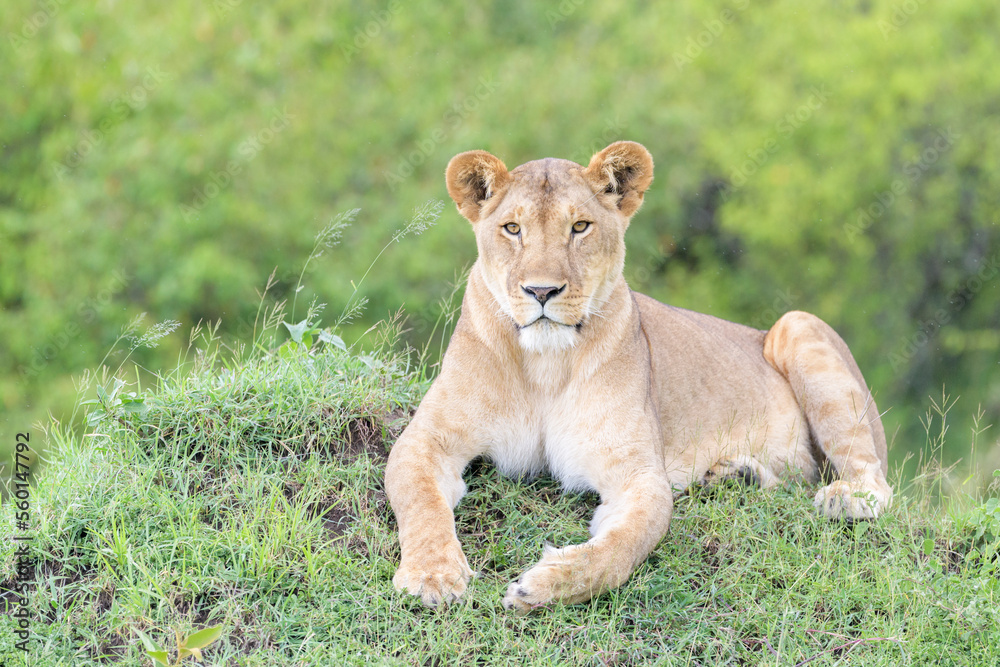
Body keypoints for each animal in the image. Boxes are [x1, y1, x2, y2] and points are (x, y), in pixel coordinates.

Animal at [385, 141, 892, 613]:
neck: (545, 364)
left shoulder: (638, 474)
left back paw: (842, 499)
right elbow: (421, 503)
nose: (542, 291)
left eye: (580, 227)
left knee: (873, 482)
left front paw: (545, 585)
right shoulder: (427, 439)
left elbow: (619, 550)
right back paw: (734, 475)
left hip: (797, 324)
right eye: (512, 228)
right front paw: (432, 577)